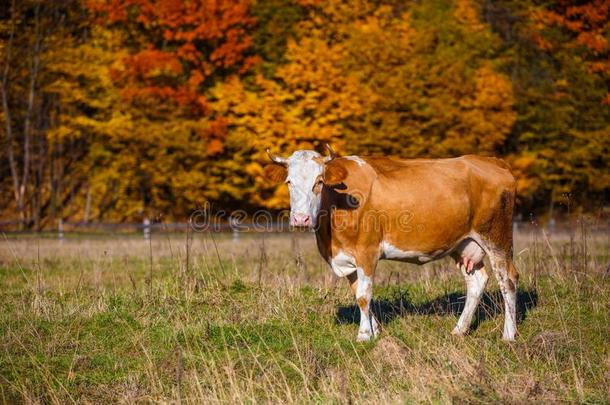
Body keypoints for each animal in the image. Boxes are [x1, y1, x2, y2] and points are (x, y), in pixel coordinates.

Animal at [262, 145, 516, 340]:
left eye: (319, 181)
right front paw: (375, 331)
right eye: (289, 182)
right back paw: (459, 330)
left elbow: (364, 295)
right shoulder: (347, 258)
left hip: (497, 238)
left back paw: (509, 335)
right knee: (476, 281)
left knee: (508, 281)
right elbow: (358, 294)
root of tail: (492, 161)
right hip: (463, 244)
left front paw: (364, 335)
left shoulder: (367, 252)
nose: (300, 219)